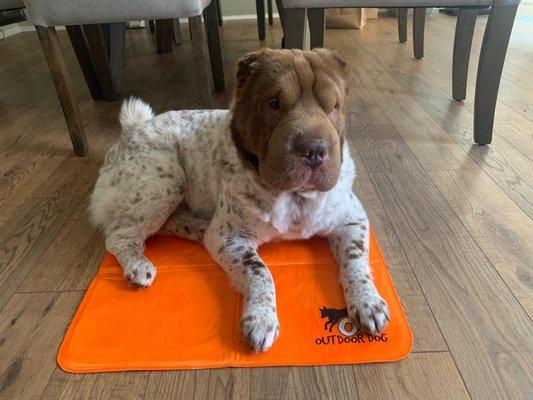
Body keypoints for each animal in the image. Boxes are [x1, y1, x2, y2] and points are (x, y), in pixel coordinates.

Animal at [89, 47, 388, 354]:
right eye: (273, 103)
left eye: (333, 106)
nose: (314, 149)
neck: (293, 197)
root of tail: (132, 129)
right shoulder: (230, 239)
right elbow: (260, 271)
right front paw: (261, 319)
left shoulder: (351, 216)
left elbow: (355, 256)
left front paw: (368, 301)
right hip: (165, 180)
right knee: (120, 236)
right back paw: (138, 266)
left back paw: (197, 228)